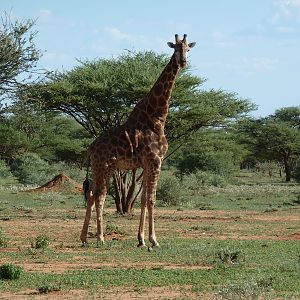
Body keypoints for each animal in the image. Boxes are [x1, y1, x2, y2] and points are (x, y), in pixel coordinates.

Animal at [81, 33, 196, 248]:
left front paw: (141, 239)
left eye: (188, 49)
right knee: (100, 196)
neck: (157, 118)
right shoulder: (155, 161)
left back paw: (84, 238)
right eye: (175, 48)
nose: (183, 62)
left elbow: (143, 199)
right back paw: (100, 237)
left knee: (91, 196)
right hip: (104, 167)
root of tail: (90, 148)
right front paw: (153, 240)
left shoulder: (149, 163)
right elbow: (151, 199)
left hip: (99, 168)